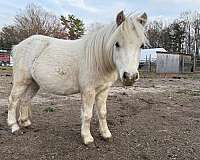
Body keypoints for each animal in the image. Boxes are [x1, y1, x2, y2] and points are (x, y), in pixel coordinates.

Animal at [7, 11, 147, 145]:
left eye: (141, 46)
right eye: (116, 44)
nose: (130, 76)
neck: (98, 59)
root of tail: (18, 46)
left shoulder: (104, 90)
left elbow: (102, 113)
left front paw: (106, 134)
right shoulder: (88, 91)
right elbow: (87, 114)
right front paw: (87, 138)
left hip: (34, 83)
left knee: (25, 100)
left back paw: (25, 122)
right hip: (21, 81)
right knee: (13, 100)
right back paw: (14, 126)